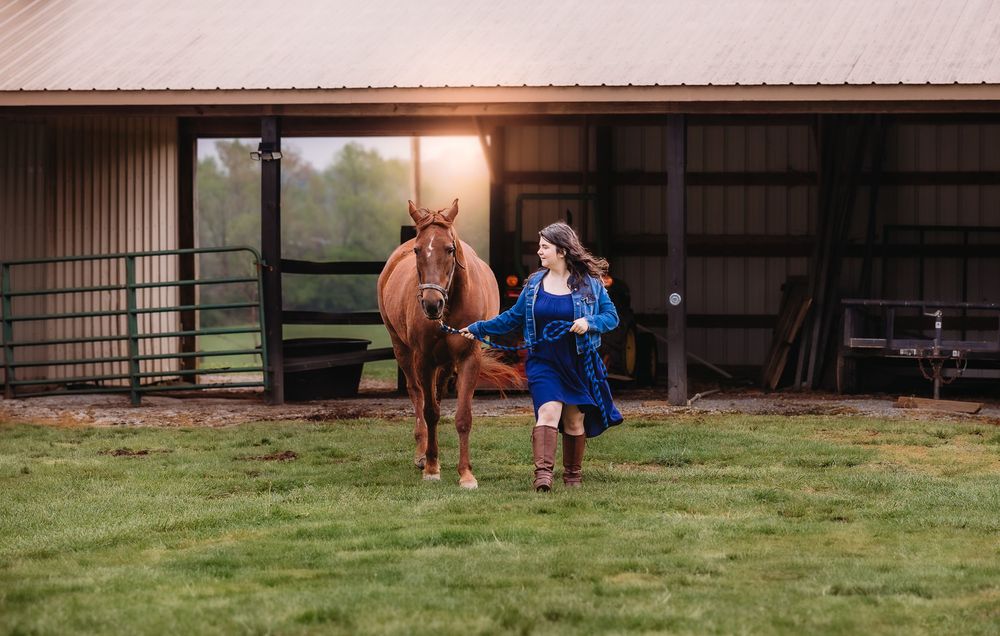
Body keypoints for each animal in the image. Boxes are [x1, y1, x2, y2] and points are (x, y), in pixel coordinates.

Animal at [377, 199, 519, 488]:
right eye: (418, 250)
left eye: (450, 249)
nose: (432, 304)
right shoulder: (423, 359)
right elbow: (430, 411)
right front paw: (432, 468)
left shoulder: (468, 359)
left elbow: (463, 416)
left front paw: (466, 474)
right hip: (403, 350)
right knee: (417, 396)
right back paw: (422, 454)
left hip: (444, 363)